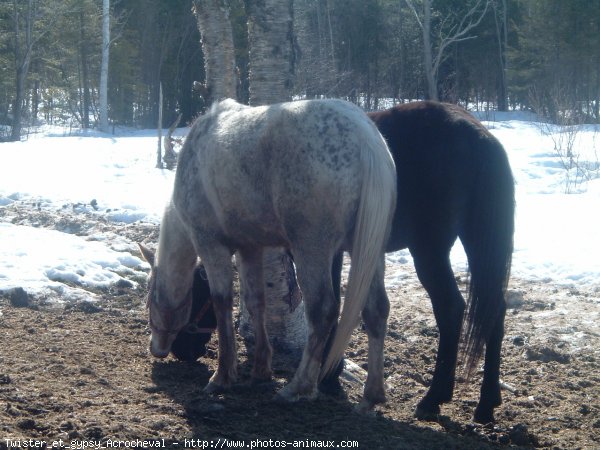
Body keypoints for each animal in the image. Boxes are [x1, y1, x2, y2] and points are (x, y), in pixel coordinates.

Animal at [138, 100, 396, 410]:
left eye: (150, 298)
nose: (158, 349)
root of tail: (365, 137)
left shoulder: (211, 246)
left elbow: (222, 302)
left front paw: (222, 376)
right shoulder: (251, 247)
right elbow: (256, 302)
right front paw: (261, 369)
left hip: (312, 250)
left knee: (323, 311)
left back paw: (298, 387)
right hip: (369, 253)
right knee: (376, 311)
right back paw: (372, 394)